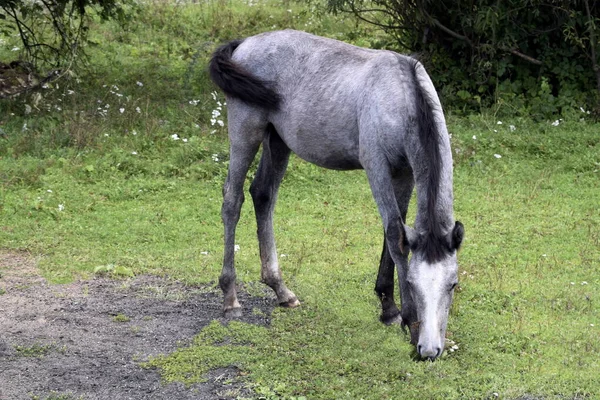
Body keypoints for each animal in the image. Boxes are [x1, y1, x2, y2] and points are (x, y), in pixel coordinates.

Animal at [209, 29, 466, 360]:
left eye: (452, 284)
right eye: (412, 282)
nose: (430, 349)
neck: (401, 98)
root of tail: (244, 43)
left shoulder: (405, 173)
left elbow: (394, 232)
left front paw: (388, 308)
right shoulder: (377, 167)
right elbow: (394, 234)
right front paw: (407, 320)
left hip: (277, 140)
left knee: (263, 195)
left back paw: (280, 289)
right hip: (246, 132)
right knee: (233, 200)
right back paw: (230, 298)